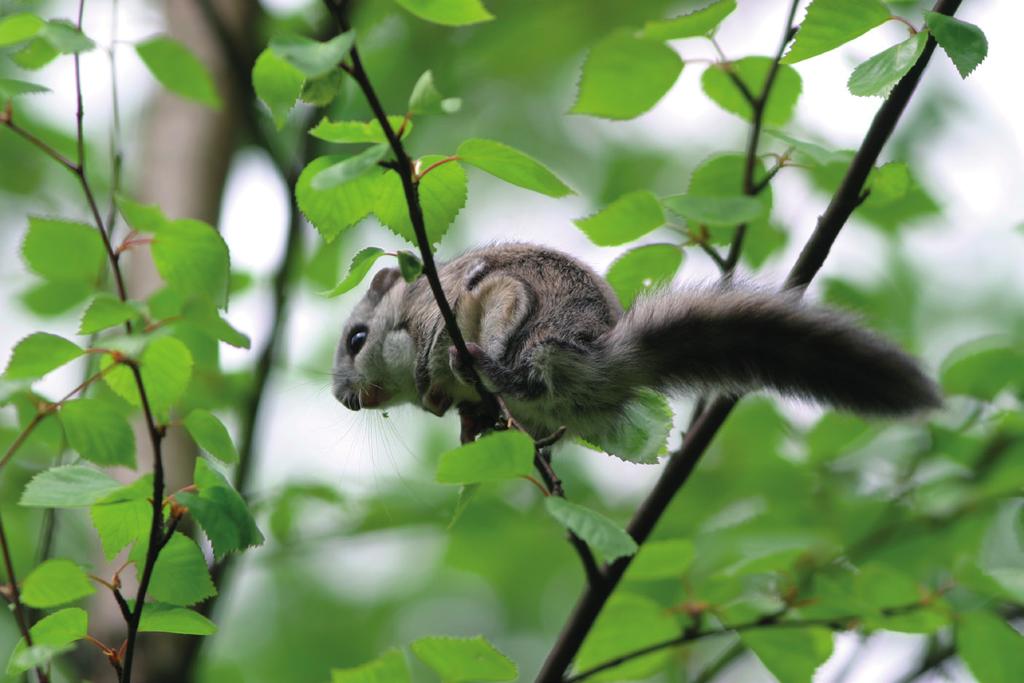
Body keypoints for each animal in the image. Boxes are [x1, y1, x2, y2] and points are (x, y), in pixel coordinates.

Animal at [329, 242, 942, 440]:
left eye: (356, 339)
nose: (343, 400)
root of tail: (599, 356)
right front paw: (457, 418)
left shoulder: (440, 307)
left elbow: (434, 341)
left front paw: (433, 384)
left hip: (519, 311)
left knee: (522, 370)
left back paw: (481, 365)